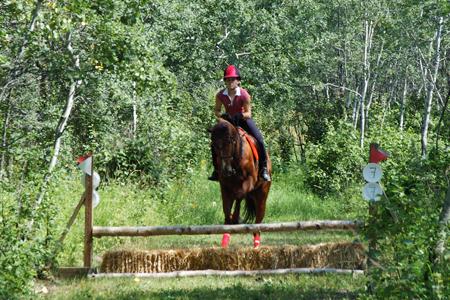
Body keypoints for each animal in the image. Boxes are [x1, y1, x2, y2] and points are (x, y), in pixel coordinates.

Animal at [209, 118, 272, 248]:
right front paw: (225, 239)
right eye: (214, 145)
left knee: (258, 220)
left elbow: (239, 196)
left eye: (230, 142)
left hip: (262, 195)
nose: (226, 170)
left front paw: (236, 218)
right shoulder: (225, 187)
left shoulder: (249, 181)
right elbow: (227, 211)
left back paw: (256, 244)